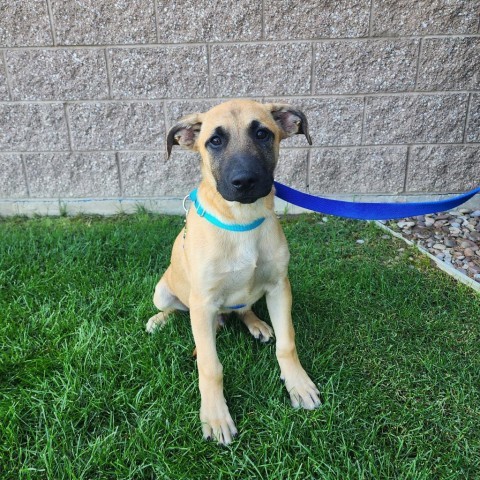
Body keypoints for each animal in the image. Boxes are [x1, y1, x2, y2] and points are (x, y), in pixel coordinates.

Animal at [146, 99, 318, 444]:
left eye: (263, 133)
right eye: (214, 140)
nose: (245, 181)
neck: (242, 220)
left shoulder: (280, 286)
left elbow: (287, 343)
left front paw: (298, 384)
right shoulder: (202, 302)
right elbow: (211, 367)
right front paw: (215, 415)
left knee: (242, 309)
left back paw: (257, 324)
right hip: (164, 292)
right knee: (177, 311)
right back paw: (161, 321)